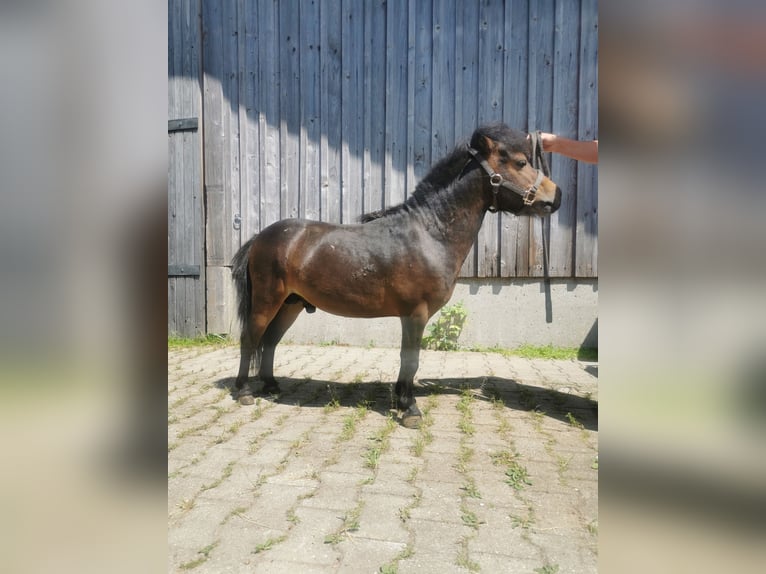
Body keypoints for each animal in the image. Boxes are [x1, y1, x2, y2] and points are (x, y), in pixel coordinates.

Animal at [231, 125, 560, 428]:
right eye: (520, 162)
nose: (555, 197)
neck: (429, 233)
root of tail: (261, 237)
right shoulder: (416, 313)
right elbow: (410, 358)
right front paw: (410, 409)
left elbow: (407, 360)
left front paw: (401, 399)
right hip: (267, 301)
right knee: (251, 337)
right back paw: (244, 391)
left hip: (291, 305)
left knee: (270, 341)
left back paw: (271, 386)